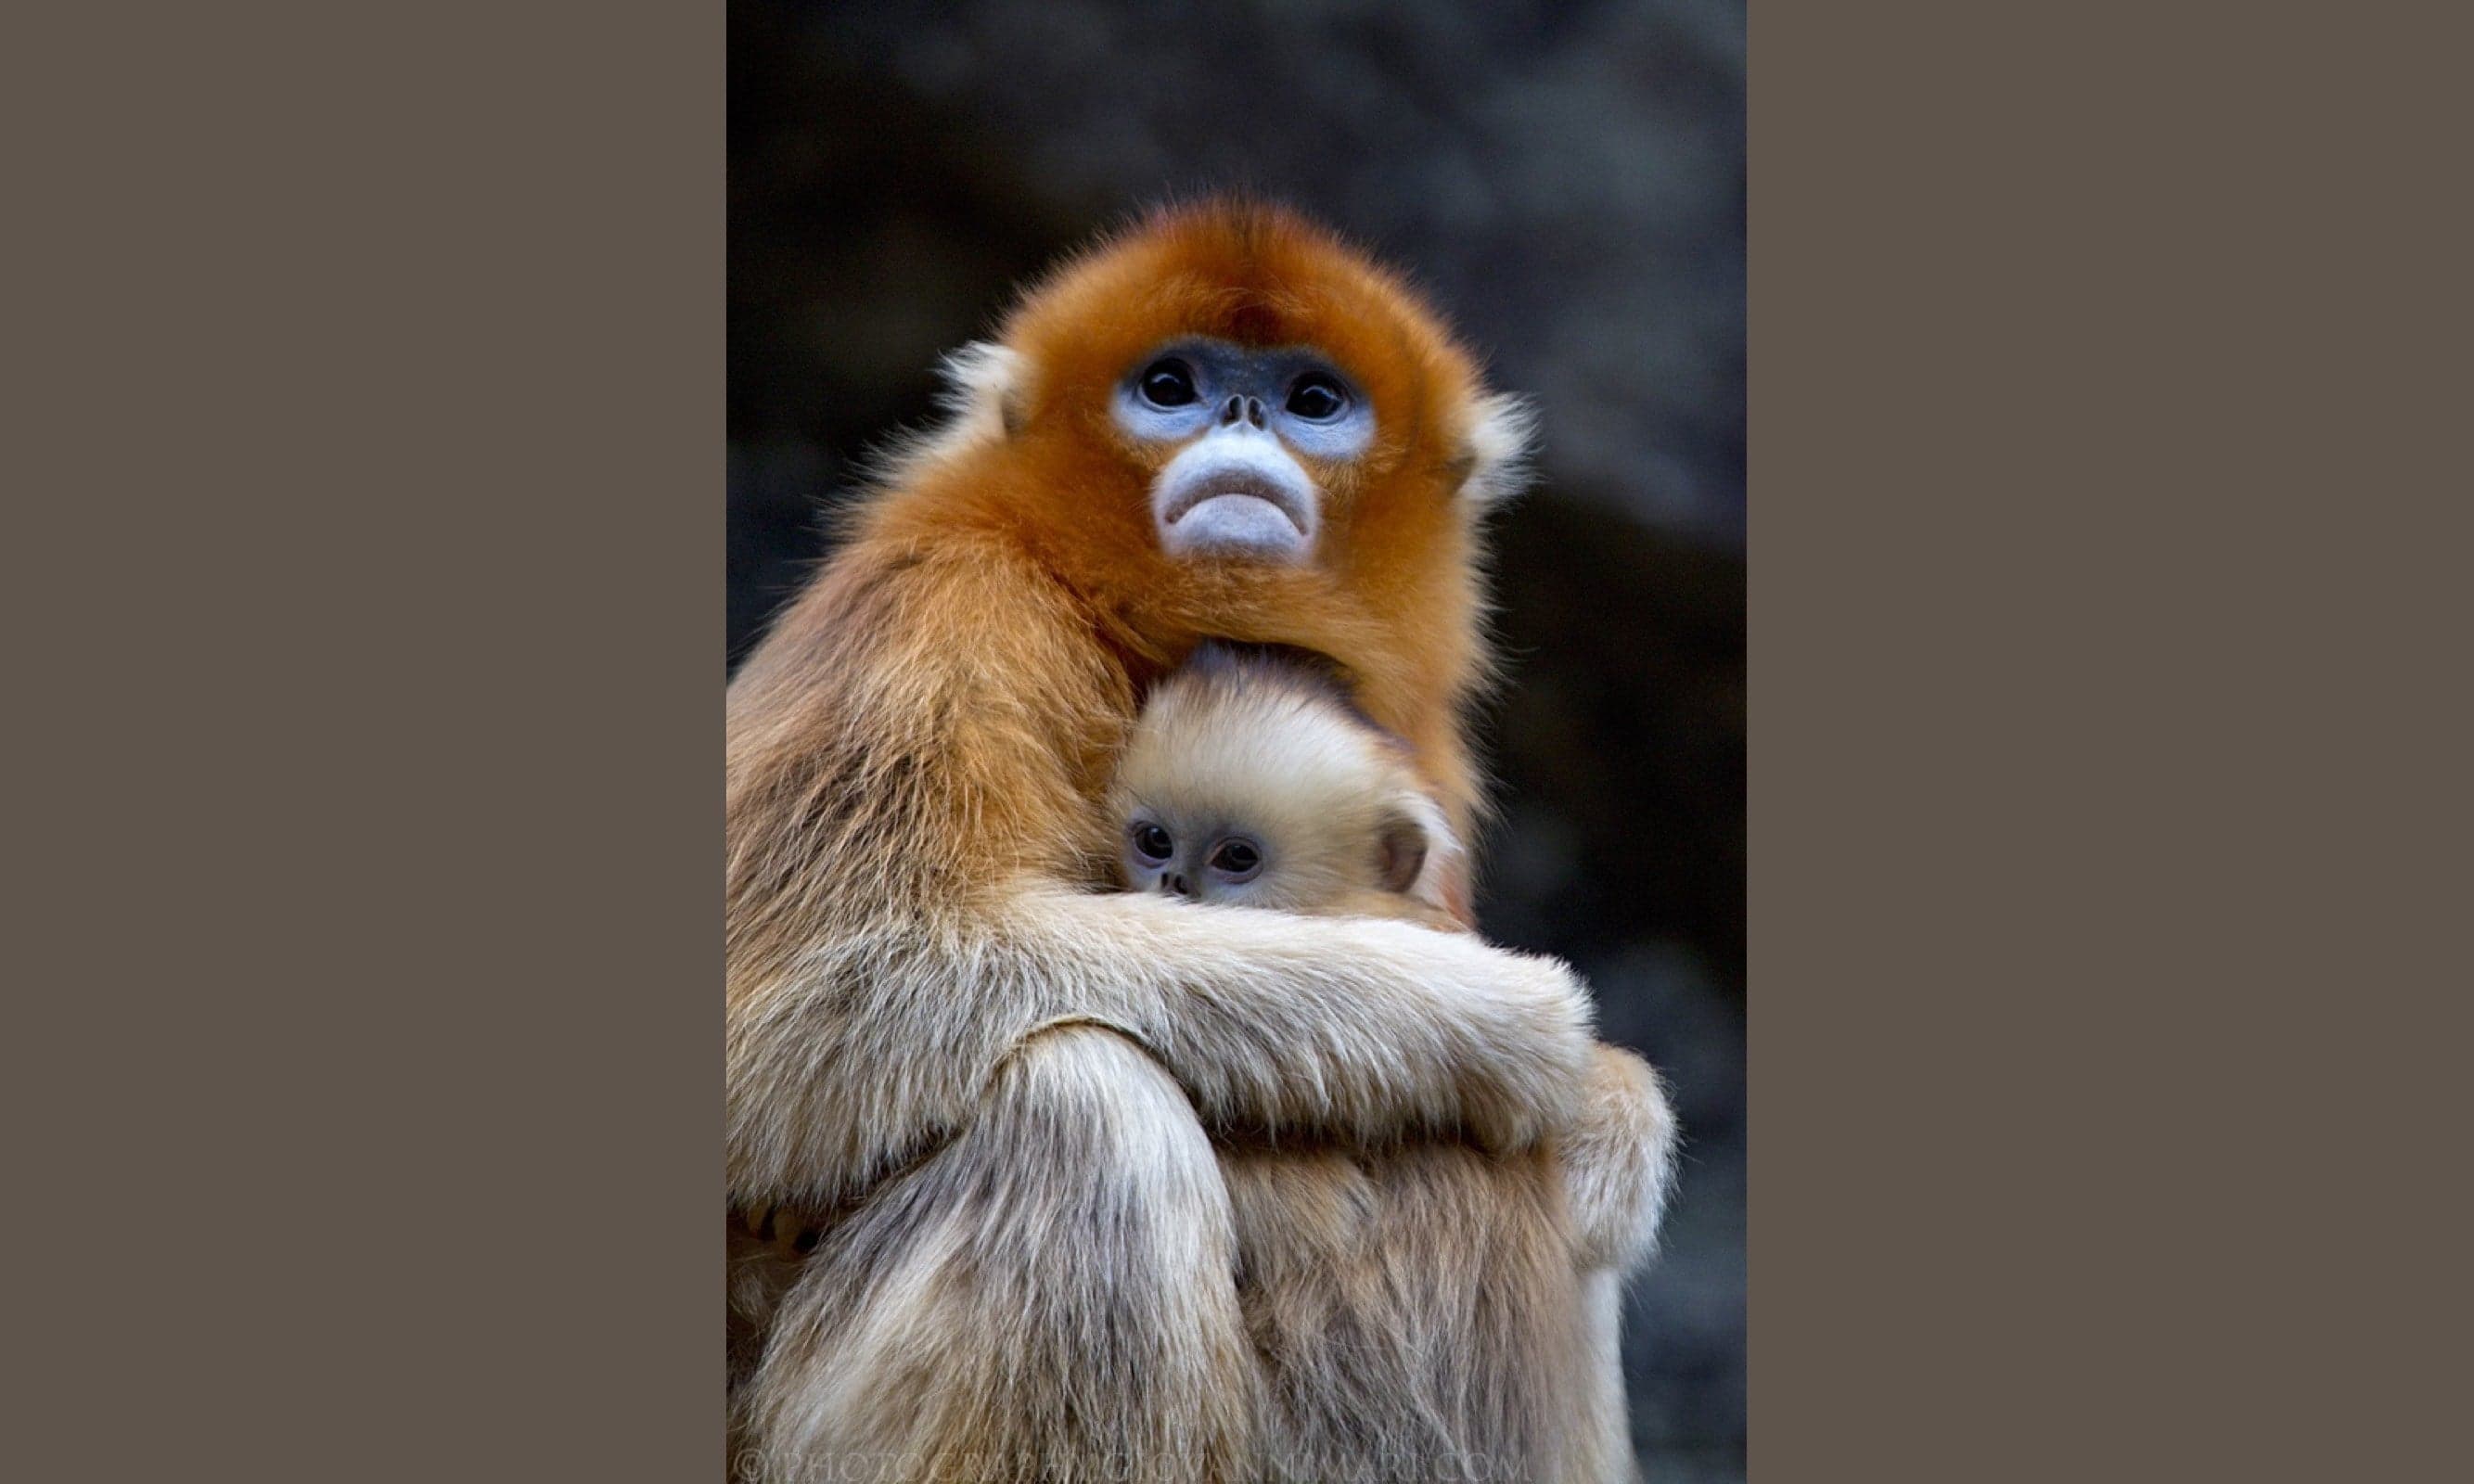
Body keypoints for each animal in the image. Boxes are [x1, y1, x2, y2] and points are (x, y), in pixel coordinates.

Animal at [727, 200, 1676, 1484]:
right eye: (1169, 386)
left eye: (1313, 399)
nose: (1239, 415)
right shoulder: (945, 613)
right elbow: (801, 1011)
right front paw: (1485, 1019)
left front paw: (1617, 1119)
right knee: (1085, 1103)